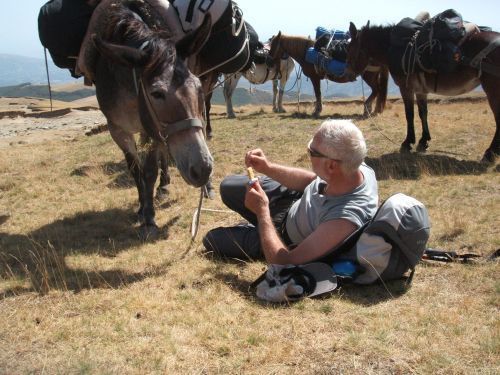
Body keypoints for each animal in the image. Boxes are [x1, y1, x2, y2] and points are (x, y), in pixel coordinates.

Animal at [80, 0, 213, 238]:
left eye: (197, 86)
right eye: (156, 94)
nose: (203, 169)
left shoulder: (151, 128)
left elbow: (150, 171)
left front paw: (150, 216)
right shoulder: (118, 130)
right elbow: (136, 170)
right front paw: (143, 209)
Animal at [344, 21, 500, 163]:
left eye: (350, 49)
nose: (347, 74)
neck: (395, 48)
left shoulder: (406, 88)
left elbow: (409, 114)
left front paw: (407, 143)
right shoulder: (421, 91)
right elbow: (422, 113)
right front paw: (423, 141)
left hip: (492, 89)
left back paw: (490, 153)